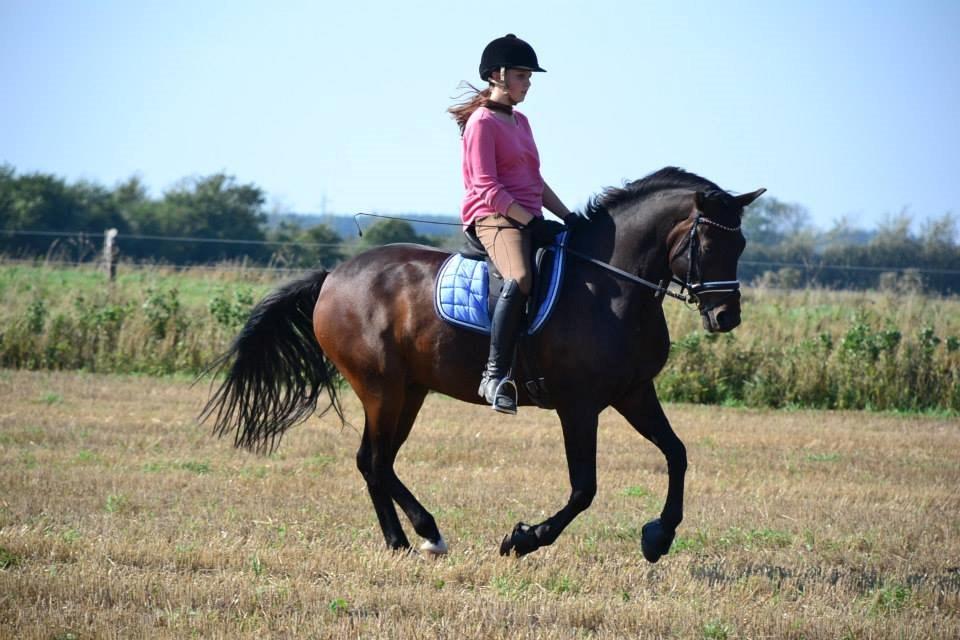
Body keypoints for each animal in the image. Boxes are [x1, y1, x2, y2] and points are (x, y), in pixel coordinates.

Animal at [201, 167, 765, 562]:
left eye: (741, 242)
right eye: (708, 242)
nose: (726, 316)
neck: (611, 285)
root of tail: (333, 276)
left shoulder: (633, 393)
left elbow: (677, 454)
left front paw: (658, 537)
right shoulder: (578, 405)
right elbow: (584, 488)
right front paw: (523, 539)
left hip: (408, 391)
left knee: (376, 461)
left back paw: (409, 539)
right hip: (380, 387)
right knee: (374, 461)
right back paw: (423, 536)